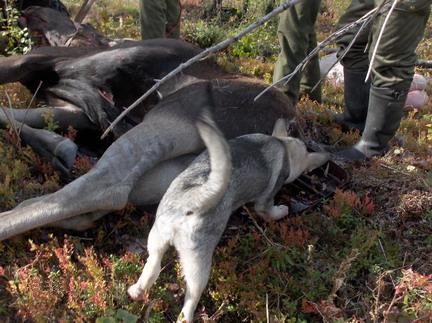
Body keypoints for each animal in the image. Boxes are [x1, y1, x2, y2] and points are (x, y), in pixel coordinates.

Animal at [126, 111, 330, 323]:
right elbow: (269, 211)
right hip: (197, 262)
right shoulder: (265, 202)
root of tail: (193, 200)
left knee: (152, 266)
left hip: (156, 239)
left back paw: (137, 291)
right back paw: (186, 316)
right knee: (191, 296)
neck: (283, 145)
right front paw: (282, 210)